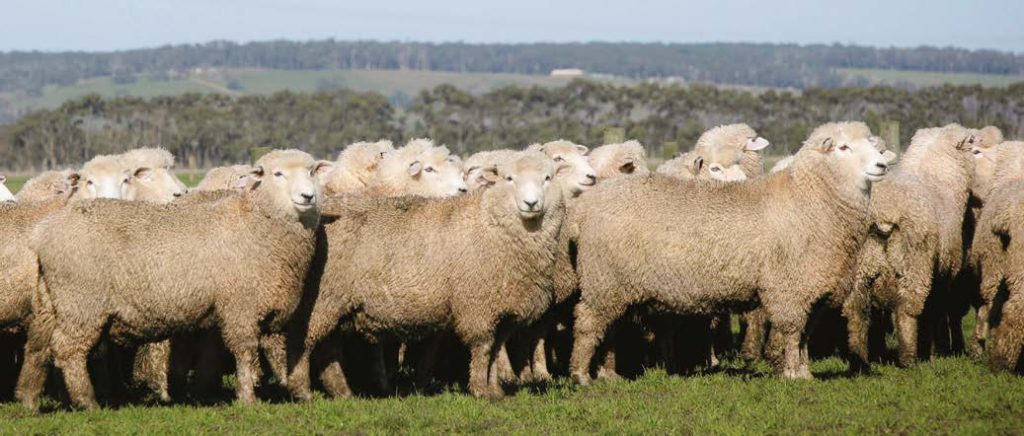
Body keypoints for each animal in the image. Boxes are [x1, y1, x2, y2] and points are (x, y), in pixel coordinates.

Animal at [19, 149, 321, 409]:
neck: (254, 219)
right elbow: (246, 351)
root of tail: (42, 233)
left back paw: (28, 399)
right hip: (81, 302)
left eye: (312, 172)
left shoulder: (263, 302)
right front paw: (249, 398)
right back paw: (87, 401)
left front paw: (292, 390)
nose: (308, 196)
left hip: (52, 300)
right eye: (277, 174)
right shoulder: (241, 305)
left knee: (37, 347)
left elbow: (276, 350)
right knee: (68, 351)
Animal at [288, 151, 569, 401]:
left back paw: (342, 392)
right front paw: (481, 391)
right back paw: (302, 391)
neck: (490, 224)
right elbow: (483, 349)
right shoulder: (478, 306)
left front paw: (495, 390)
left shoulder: (503, 311)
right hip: (322, 299)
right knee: (305, 343)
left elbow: (494, 350)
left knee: (328, 348)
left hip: (336, 303)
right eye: (509, 179)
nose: (531, 204)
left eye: (548, 178)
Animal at [569, 121, 888, 380]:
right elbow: (792, 331)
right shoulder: (788, 288)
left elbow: (805, 335)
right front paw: (792, 375)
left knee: (608, 327)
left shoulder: (815, 289)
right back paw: (582, 375)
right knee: (587, 322)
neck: (809, 198)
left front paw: (804, 372)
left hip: (615, 284)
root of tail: (587, 205)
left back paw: (606, 373)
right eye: (844, 147)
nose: (882, 166)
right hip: (604, 279)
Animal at [843, 124, 978, 370]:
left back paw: (860, 361)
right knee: (907, 310)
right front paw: (936, 350)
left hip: (859, 268)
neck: (938, 180)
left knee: (856, 311)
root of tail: (881, 213)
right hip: (915, 264)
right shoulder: (944, 270)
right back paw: (909, 359)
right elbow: (936, 313)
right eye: (972, 143)